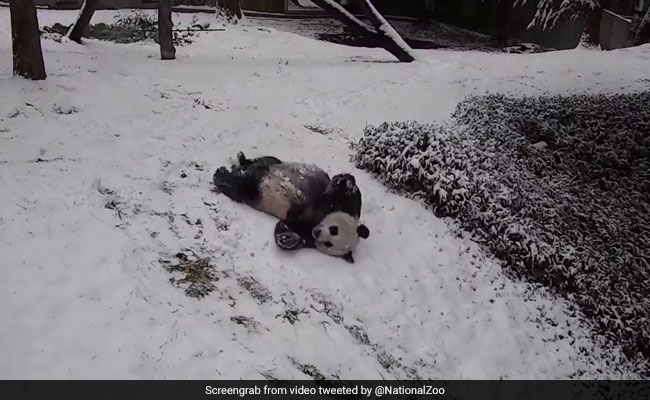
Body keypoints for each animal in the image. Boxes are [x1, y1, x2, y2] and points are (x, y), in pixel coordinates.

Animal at [213, 152, 369, 263]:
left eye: (329, 243)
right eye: (334, 229)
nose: (318, 233)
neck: (323, 215)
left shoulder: (306, 228)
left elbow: (287, 227)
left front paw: (288, 239)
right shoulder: (345, 205)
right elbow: (352, 193)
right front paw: (343, 182)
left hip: (251, 191)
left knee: (239, 188)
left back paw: (223, 176)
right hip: (273, 164)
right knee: (267, 160)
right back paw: (240, 160)